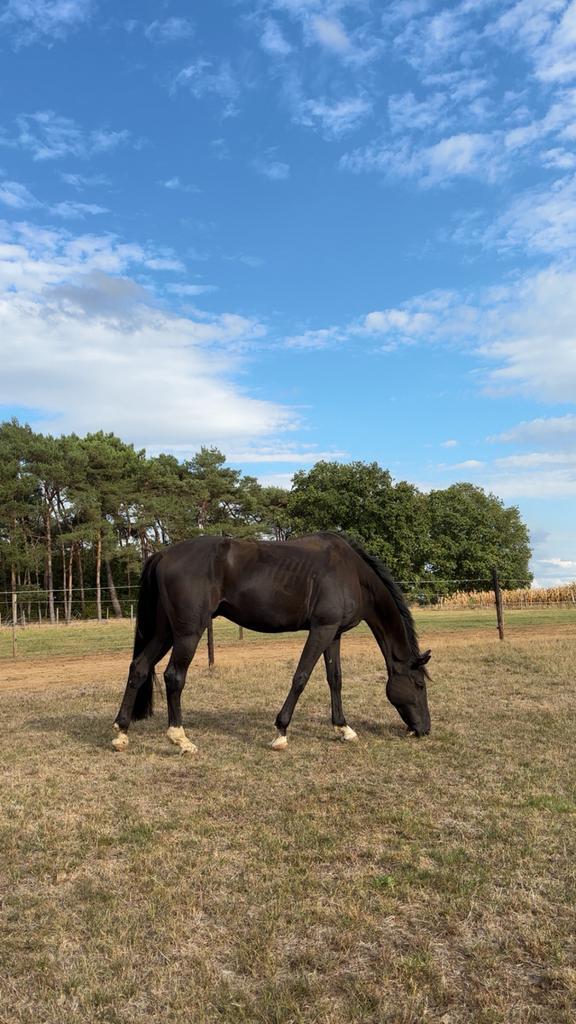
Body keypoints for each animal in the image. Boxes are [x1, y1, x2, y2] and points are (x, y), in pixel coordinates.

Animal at [112, 532, 431, 753]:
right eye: (419, 684)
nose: (425, 729)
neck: (351, 573)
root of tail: (163, 554)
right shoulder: (321, 629)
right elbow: (301, 677)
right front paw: (281, 732)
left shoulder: (334, 633)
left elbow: (335, 678)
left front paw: (344, 728)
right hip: (188, 633)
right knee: (174, 676)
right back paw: (181, 739)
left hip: (165, 632)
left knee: (139, 667)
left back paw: (121, 732)